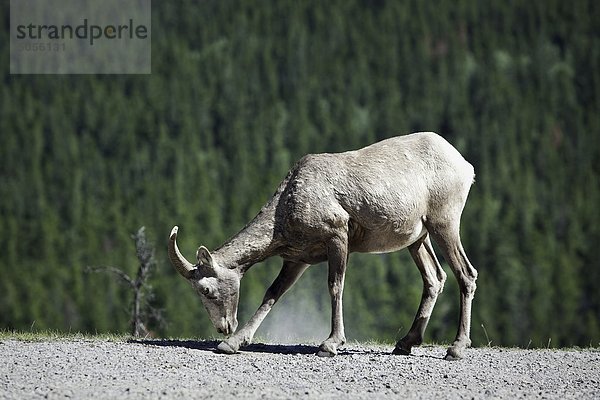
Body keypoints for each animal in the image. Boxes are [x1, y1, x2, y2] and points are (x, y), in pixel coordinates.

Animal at [169, 131, 478, 360]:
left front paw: (330, 344)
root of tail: (466, 166)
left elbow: (335, 286)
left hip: (444, 224)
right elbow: (272, 294)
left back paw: (456, 349)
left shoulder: (337, 237)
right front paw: (233, 344)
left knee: (466, 274)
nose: (223, 328)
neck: (287, 204)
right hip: (418, 239)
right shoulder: (298, 259)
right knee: (435, 278)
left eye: (206, 290)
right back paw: (404, 344)